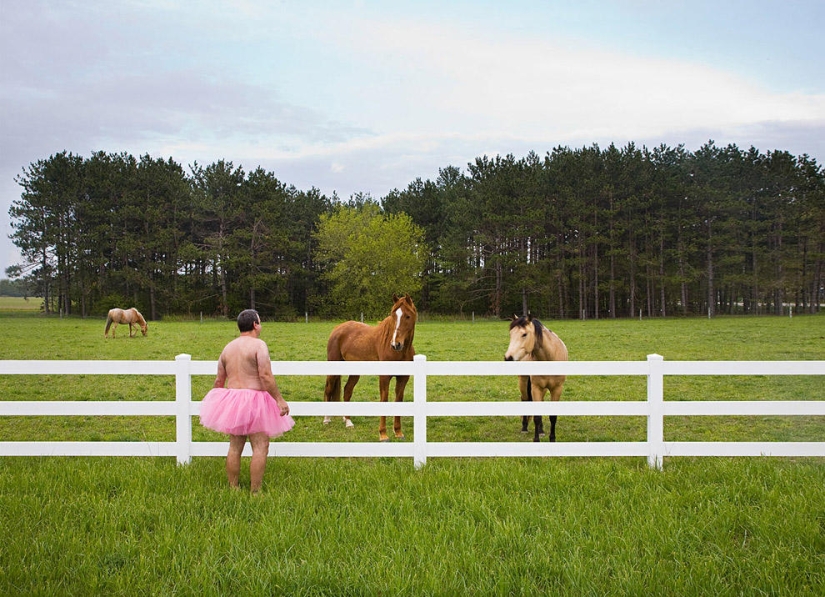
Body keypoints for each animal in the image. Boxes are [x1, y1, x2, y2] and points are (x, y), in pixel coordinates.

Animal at [324, 294, 418, 440]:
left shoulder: (403, 378)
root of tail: (338, 328)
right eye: (393, 316)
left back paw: (348, 421)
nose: (396, 344)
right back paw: (326, 419)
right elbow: (384, 400)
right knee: (328, 389)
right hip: (334, 368)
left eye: (408, 316)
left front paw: (398, 432)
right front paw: (383, 434)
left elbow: (398, 400)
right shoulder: (384, 377)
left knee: (347, 391)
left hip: (354, 371)